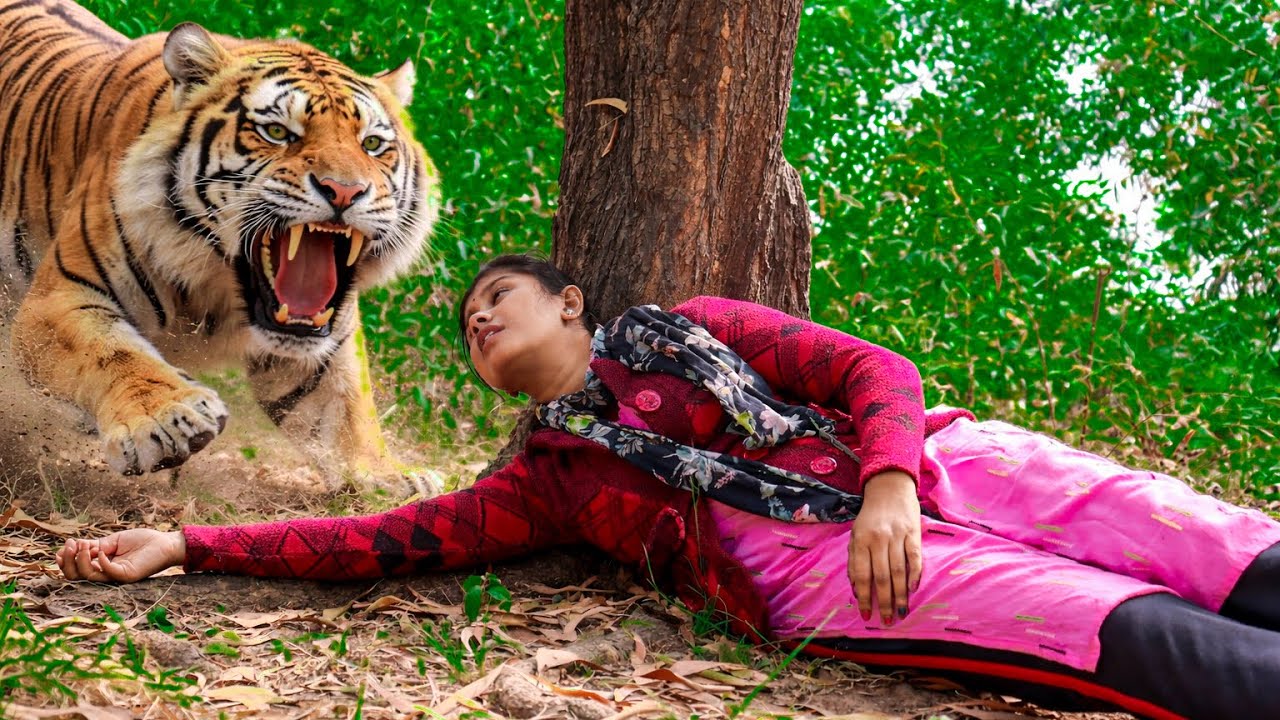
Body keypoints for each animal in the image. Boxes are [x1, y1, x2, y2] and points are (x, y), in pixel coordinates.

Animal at [0, 0, 439, 488]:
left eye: (373, 144)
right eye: (278, 133)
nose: (345, 191)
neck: (218, 287)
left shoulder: (330, 337)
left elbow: (347, 405)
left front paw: (385, 476)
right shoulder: (60, 299)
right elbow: (114, 354)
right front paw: (167, 419)